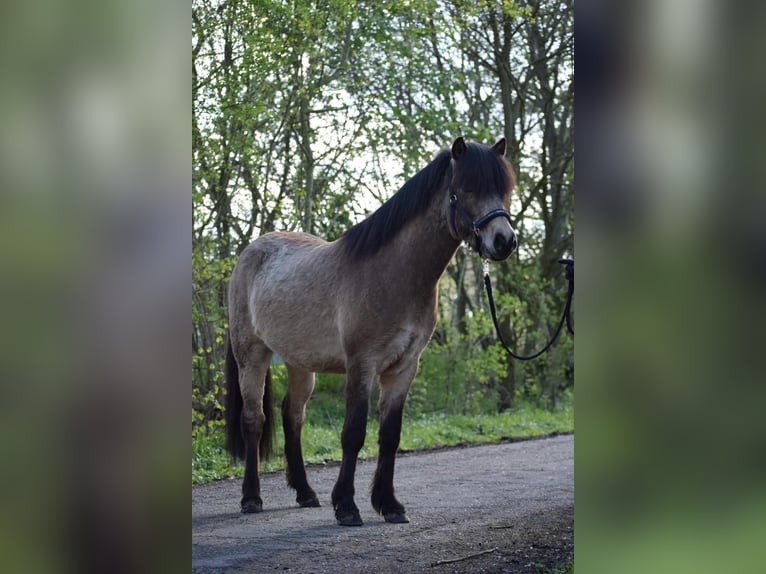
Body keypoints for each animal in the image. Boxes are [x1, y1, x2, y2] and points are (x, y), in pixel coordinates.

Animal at [225, 136, 520, 528]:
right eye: (468, 188)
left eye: (504, 190)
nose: (504, 242)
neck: (395, 273)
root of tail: (249, 253)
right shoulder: (362, 364)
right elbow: (353, 433)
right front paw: (347, 506)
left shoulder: (404, 367)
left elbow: (390, 435)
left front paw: (389, 504)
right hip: (252, 356)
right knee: (253, 420)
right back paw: (251, 498)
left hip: (300, 362)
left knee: (293, 416)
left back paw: (305, 493)